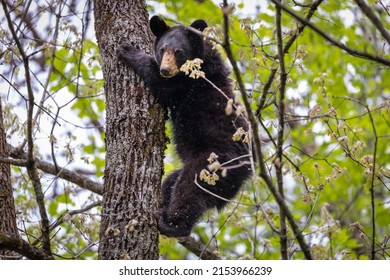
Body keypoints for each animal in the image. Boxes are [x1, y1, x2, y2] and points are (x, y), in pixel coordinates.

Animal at [116, 16, 250, 237]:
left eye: (179, 51)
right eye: (163, 49)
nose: (166, 69)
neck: (203, 60)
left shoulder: (187, 83)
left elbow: (160, 83)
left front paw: (127, 50)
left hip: (214, 161)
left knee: (190, 189)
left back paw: (172, 224)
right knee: (172, 181)